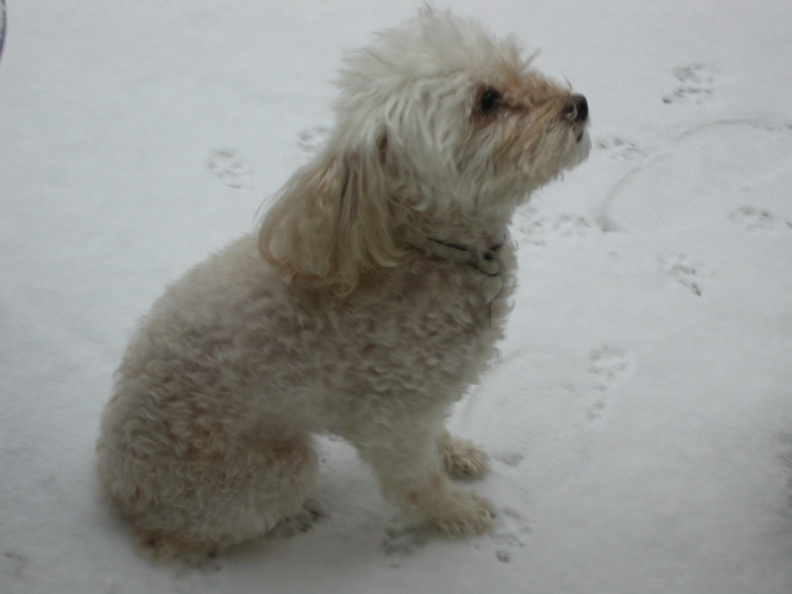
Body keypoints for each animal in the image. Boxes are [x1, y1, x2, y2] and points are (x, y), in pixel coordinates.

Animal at [96, 8, 588, 560]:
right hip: (268, 471)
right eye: (486, 101)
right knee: (207, 532)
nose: (580, 104)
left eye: (516, 65)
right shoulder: (390, 417)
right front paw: (456, 513)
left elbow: (436, 433)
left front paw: (455, 454)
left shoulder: (424, 400)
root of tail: (120, 491)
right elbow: (417, 481)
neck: (423, 248)